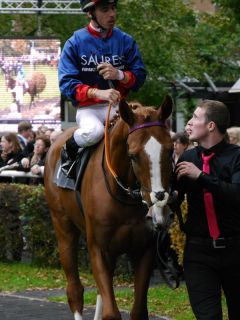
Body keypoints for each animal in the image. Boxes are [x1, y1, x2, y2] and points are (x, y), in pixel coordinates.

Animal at [44, 95, 173, 320]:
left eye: (170, 150)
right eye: (133, 155)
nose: (159, 209)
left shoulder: (145, 251)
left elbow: (138, 311)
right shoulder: (98, 248)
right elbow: (111, 312)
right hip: (63, 227)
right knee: (74, 289)